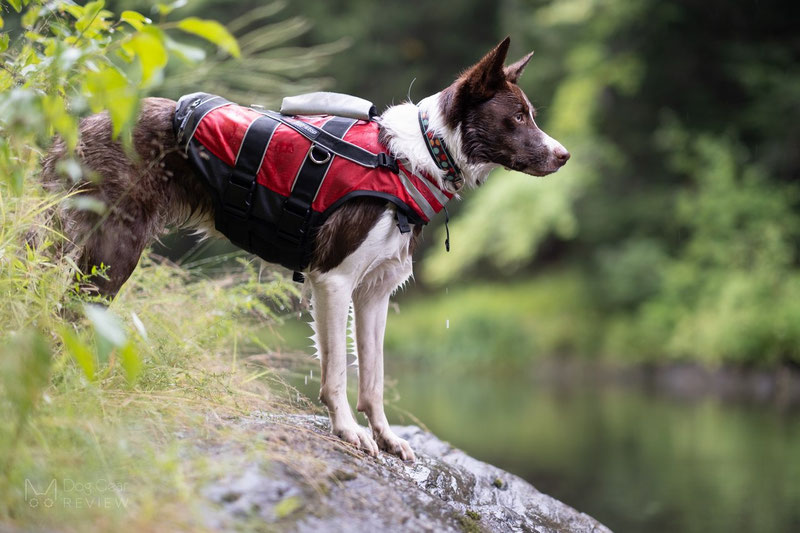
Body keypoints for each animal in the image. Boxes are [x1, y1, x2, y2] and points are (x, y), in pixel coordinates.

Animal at [42, 37, 568, 462]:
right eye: (517, 117)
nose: (564, 156)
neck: (415, 156)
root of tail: (81, 124)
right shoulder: (333, 281)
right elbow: (337, 374)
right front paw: (348, 432)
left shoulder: (374, 294)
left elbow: (373, 378)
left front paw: (385, 437)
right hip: (114, 249)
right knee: (69, 316)